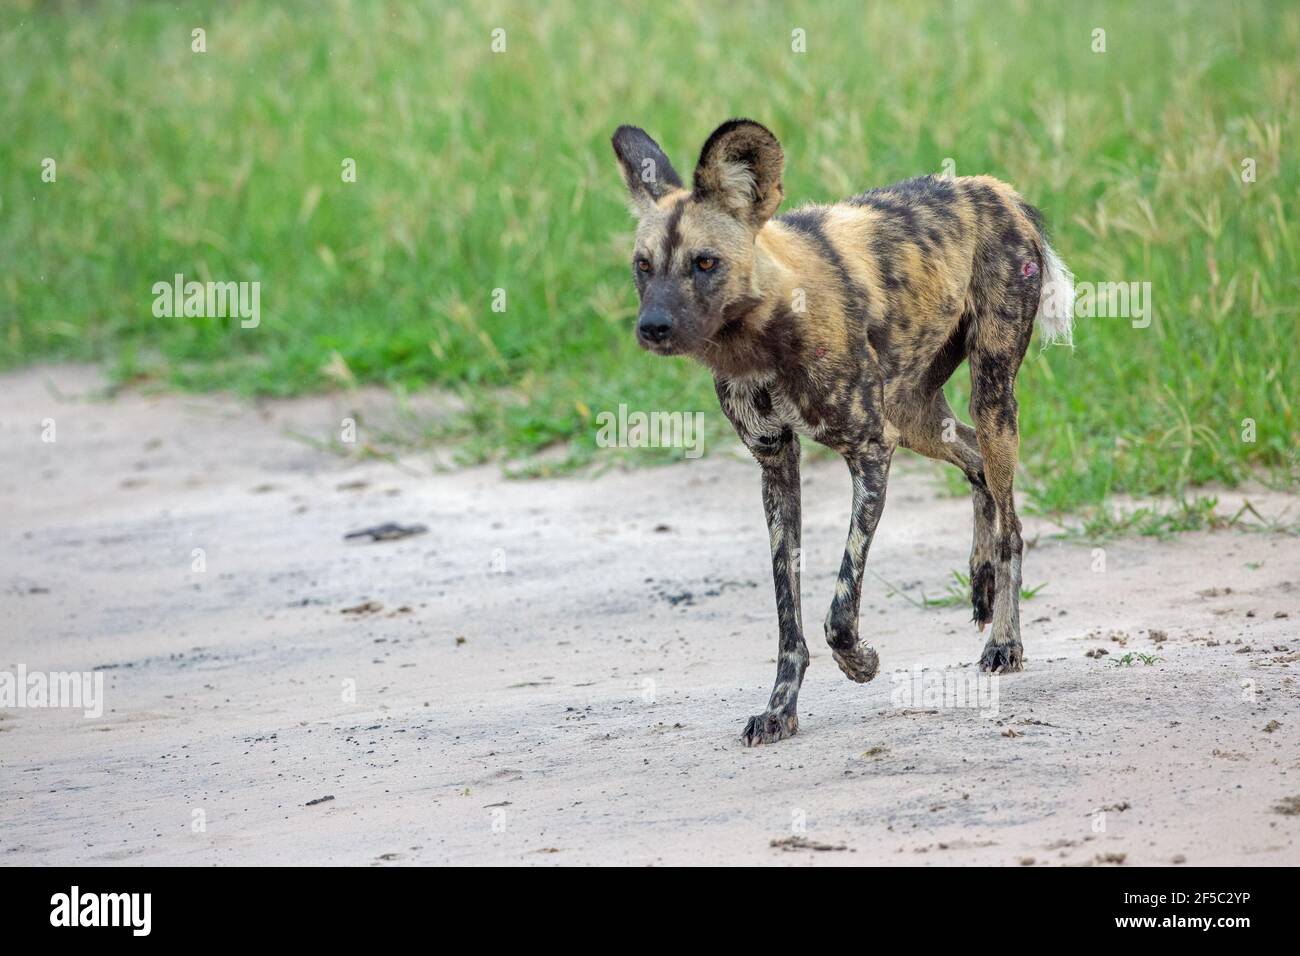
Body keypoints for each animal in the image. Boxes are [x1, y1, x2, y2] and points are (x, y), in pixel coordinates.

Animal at [608, 119, 1076, 749]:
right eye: (643, 265)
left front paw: (860, 663)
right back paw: (980, 582)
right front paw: (780, 709)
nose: (652, 327)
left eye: (704, 263)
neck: (765, 334)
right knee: (976, 464)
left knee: (1012, 525)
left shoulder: (870, 452)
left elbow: (839, 610)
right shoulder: (777, 466)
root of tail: (997, 189)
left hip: (989, 393)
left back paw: (1004, 640)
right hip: (916, 415)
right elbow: (789, 619)